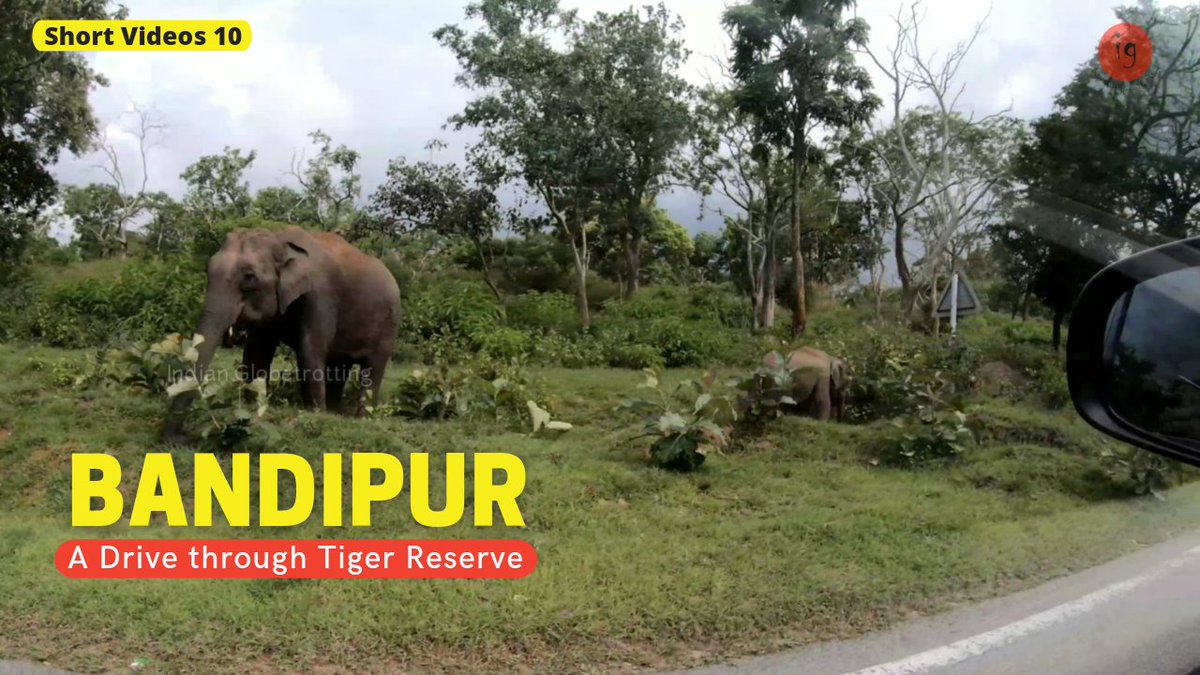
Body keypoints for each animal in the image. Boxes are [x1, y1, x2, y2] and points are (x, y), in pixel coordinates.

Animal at [163, 226, 401, 443]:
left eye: (249, 277)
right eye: (207, 270)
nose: (179, 438)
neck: (280, 240)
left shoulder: (321, 296)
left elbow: (309, 350)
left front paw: (315, 414)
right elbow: (257, 351)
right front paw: (252, 407)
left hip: (388, 327)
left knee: (372, 369)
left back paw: (360, 418)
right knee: (338, 367)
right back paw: (336, 413)